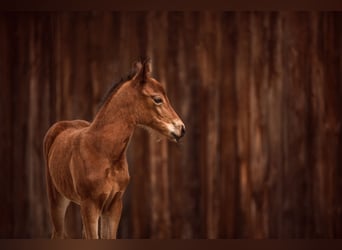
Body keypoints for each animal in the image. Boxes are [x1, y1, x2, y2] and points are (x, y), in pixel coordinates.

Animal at [44, 58, 187, 238]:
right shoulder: (90, 205)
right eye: (157, 99)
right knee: (58, 232)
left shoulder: (114, 205)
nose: (181, 128)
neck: (103, 152)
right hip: (57, 199)